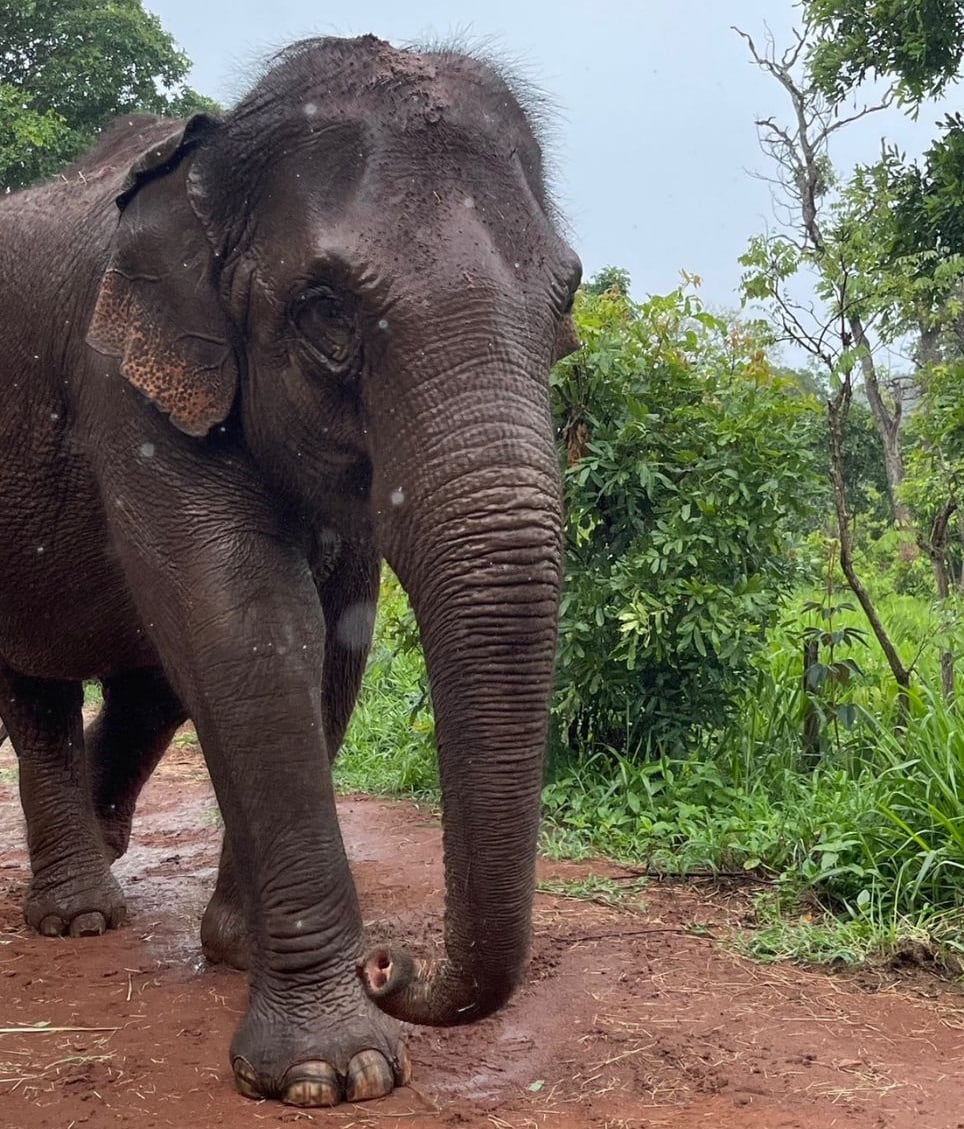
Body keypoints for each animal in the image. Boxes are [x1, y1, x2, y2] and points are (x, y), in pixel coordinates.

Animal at [0, 35, 582, 1110]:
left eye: (564, 300)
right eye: (326, 313)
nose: (391, 963)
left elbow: (331, 634)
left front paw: (237, 950)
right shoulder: (125, 385)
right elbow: (247, 618)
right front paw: (333, 1070)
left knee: (146, 681)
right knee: (41, 683)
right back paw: (79, 915)